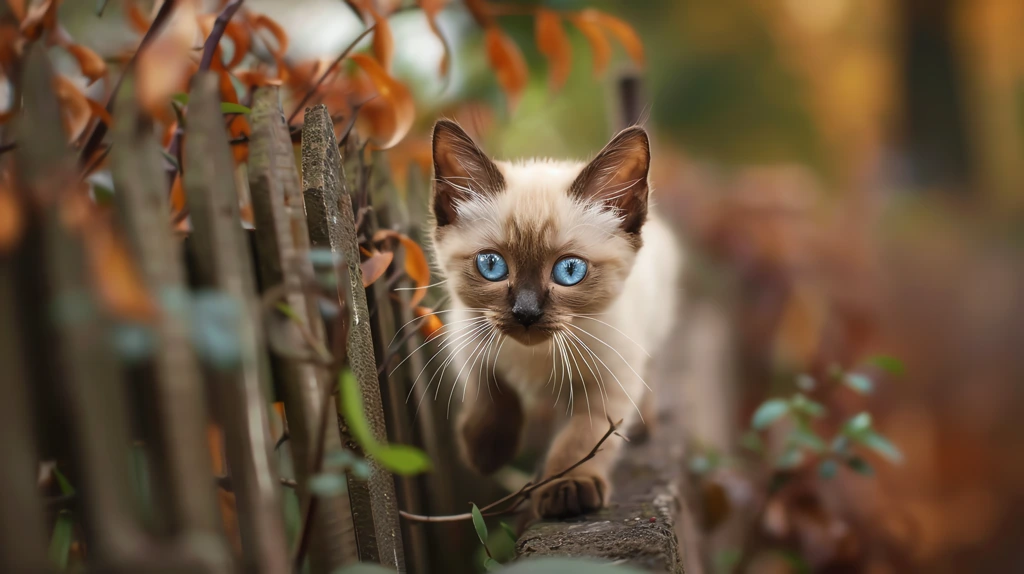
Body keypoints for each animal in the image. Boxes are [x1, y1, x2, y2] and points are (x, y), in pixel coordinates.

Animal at [428, 118, 684, 517]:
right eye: (492, 266)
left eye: (569, 271)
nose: (526, 313)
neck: (535, 356)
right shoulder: (466, 336)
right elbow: (492, 390)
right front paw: (486, 450)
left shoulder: (610, 377)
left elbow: (581, 437)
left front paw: (568, 487)